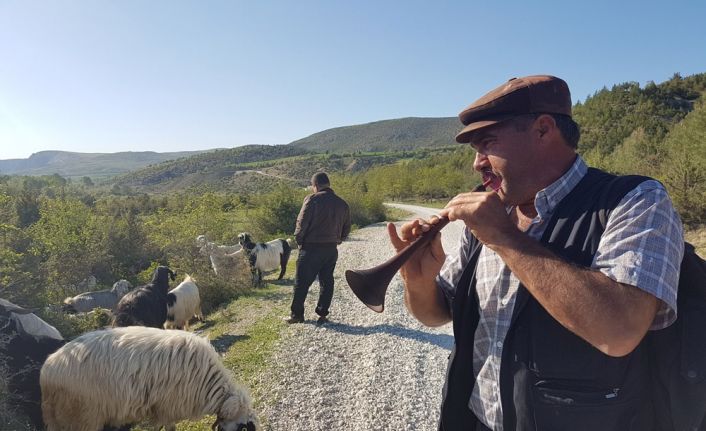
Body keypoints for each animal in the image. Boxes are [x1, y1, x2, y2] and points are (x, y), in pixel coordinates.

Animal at [39, 328, 258, 431]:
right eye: (244, 427)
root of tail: (46, 371)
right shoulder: (167, 407)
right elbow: (168, 427)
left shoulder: (159, 407)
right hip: (81, 417)